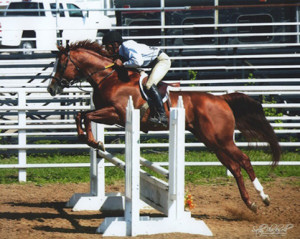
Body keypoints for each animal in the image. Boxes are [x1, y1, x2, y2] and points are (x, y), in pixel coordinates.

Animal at [47, 40, 282, 214]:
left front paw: (94, 141)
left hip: (222, 140)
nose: (51, 88)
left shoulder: (116, 113)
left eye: (61, 64)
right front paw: (92, 141)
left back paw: (264, 197)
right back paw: (250, 203)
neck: (109, 76)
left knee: (244, 160)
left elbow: (85, 116)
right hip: (212, 142)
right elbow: (81, 115)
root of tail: (221, 99)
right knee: (234, 167)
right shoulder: (108, 113)